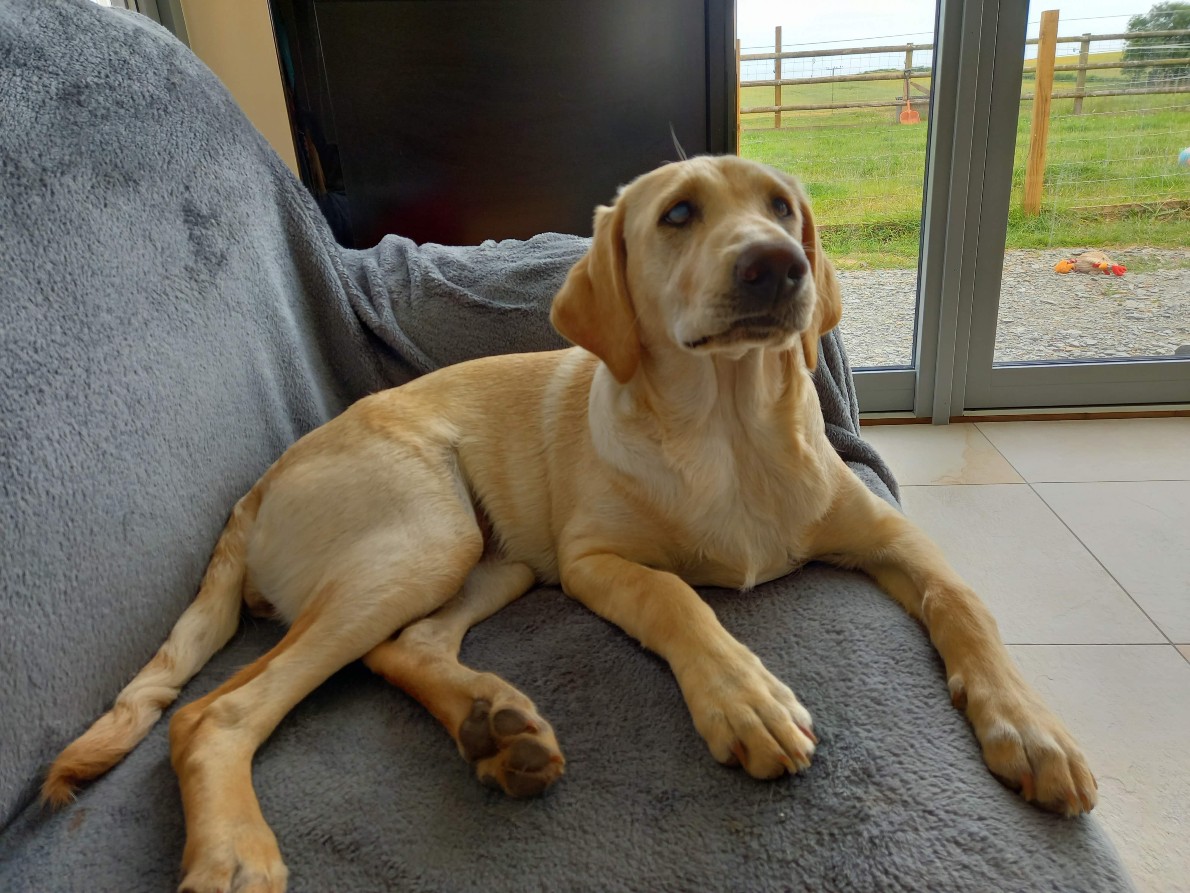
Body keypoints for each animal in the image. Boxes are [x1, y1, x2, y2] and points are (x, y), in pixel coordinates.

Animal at [41, 157, 1094, 890]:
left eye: (782, 207)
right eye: (678, 215)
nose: (779, 266)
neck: (730, 431)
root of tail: (257, 486)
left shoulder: (888, 537)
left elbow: (965, 604)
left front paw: (1031, 726)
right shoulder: (595, 561)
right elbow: (679, 601)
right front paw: (744, 696)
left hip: (486, 554)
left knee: (400, 648)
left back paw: (495, 726)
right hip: (425, 535)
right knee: (212, 711)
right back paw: (234, 848)